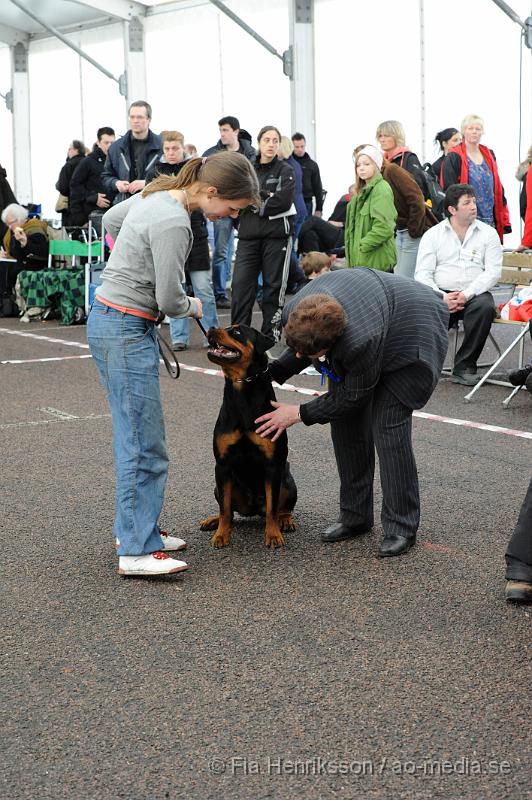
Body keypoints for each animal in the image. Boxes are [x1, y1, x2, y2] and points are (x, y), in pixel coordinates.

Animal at [200, 322, 298, 548]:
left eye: (236, 331)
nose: (211, 328)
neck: (242, 386)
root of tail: (252, 508)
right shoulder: (222, 464)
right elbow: (225, 508)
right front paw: (221, 535)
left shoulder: (273, 465)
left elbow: (272, 508)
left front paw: (273, 535)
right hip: (220, 485)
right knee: (229, 510)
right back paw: (213, 521)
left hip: (287, 480)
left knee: (281, 508)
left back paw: (285, 520)